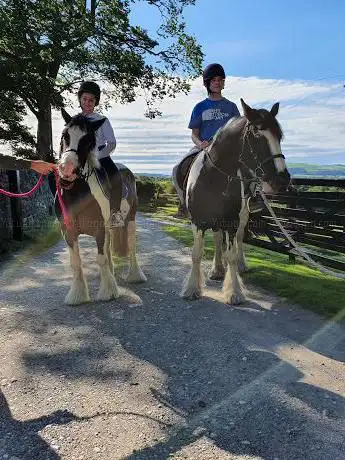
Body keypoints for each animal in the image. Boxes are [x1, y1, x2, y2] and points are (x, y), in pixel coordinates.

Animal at [56, 110, 145, 306]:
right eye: (65, 135)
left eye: (89, 140)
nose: (67, 170)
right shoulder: (68, 231)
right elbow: (76, 262)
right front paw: (77, 295)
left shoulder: (99, 229)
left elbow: (101, 258)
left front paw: (108, 292)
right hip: (110, 227)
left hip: (130, 220)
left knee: (132, 246)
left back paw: (135, 275)